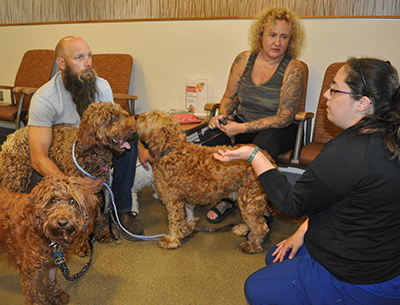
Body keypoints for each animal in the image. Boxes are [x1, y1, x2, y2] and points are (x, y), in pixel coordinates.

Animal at [0, 101, 136, 254]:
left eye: (122, 115)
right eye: (110, 118)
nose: (133, 132)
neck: (92, 153)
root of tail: (10, 138)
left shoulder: (99, 190)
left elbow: (99, 215)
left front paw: (102, 233)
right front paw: (82, 244)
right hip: (17, 180)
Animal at [0, 175, 98, 304]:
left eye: (72, 200)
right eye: (52, 200)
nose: (62, 223)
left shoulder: (54, 261)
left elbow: (51, 280)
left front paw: (55, 295)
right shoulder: (30, 272)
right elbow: (35, 294)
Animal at [136, 108, 276, 252]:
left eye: (148, 117)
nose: (135, 117)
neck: (171, 150)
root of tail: (267, 157)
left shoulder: (173, 201)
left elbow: (175, 223)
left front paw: (172, 240)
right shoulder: (186, 199)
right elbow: (189, 216)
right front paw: (189, 228)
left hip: (249, 199)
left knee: (260, 227)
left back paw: (252, 245)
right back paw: (242, 229)